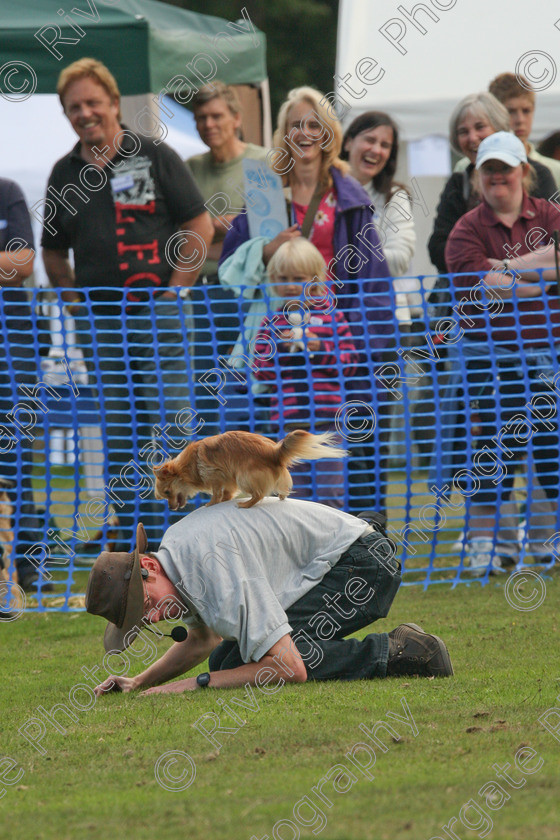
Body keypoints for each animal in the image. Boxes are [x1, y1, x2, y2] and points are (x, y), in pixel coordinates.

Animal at [153, 430, 346, 508]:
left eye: (168, 492)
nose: (171, 508)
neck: (189, 465)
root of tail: (274, 452)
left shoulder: (214, 476)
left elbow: (216, 493)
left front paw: (211, 503)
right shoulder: (228, 481)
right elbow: (227, 493)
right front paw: (224, 500)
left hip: (244, 477)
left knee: (259, 495)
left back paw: (246, 504)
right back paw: (282, 496)